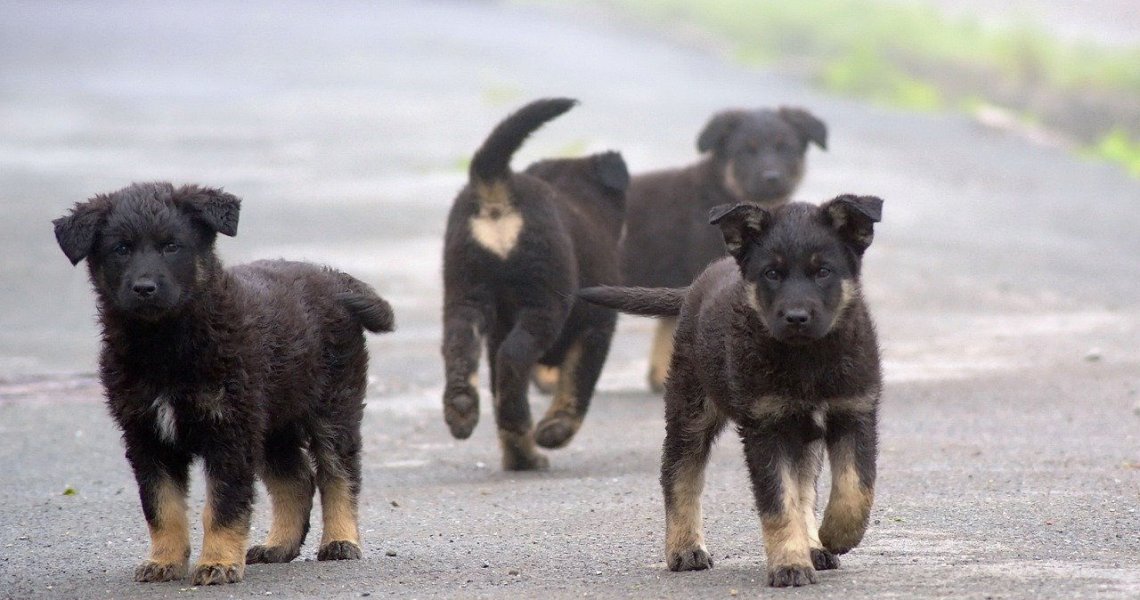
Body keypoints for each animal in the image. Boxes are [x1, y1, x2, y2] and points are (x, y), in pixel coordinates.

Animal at [52, 184, 396, 588]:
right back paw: (278, 545)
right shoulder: (146, 436)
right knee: (296, 480)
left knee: (338, 473)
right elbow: (161, 507)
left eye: (172, 246)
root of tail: (334, 280)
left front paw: (217, 562)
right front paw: (164, 561)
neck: (165, 345)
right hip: (271, 422)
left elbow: (223, 505)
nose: (144, 288)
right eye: (120, 249)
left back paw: (340, 540)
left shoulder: (228, 431)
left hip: (332, 407)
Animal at [437, 98, 633, 472]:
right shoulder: (598, 327)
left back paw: (462, 409)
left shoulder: (496, 331)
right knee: (515, 359)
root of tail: (497, 185)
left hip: (465, 292)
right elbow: (577, 384)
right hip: (544, 301)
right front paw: (555, 431)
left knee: (462, 348)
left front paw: (520, 457)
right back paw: (520, 422)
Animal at [579, 196, 880, 588]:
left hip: (800, 436)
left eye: (823, 272)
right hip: (691, 410)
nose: (796, 317)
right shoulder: (765, 427)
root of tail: (695, 286)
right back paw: (685, 548)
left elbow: (855, 487)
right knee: (679, 474)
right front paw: (790, 565)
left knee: (805, 487)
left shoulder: (855, 412)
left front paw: (833, 536)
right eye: (771, 273)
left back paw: (814, 544)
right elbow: (778, 503)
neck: (807, 360)